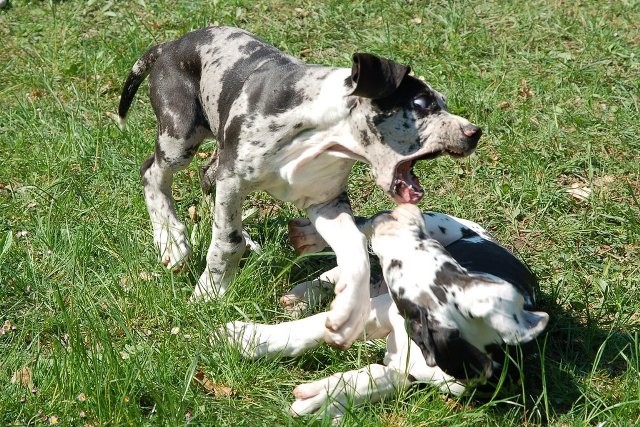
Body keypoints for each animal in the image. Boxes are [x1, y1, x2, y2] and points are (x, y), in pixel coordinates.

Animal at [117, 25, 482, 348]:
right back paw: (171, 239)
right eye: (422, 105)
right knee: (152, 173)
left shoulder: (327, 203)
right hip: (180, 136)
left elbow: (354, 248)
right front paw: (212, 291)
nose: (474, 132)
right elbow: (225, 242)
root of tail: (169, 45)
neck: (321, 136)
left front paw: (349, 309)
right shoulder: (233, 178)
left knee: (207, 176)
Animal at [222, 206, 548, 420]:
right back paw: (308, 259)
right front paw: (251, 339)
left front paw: (328, 397)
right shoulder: (380, 310)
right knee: (352, 247)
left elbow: (373, 378)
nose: (398, 214)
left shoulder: (417, 371)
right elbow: (309, 329)